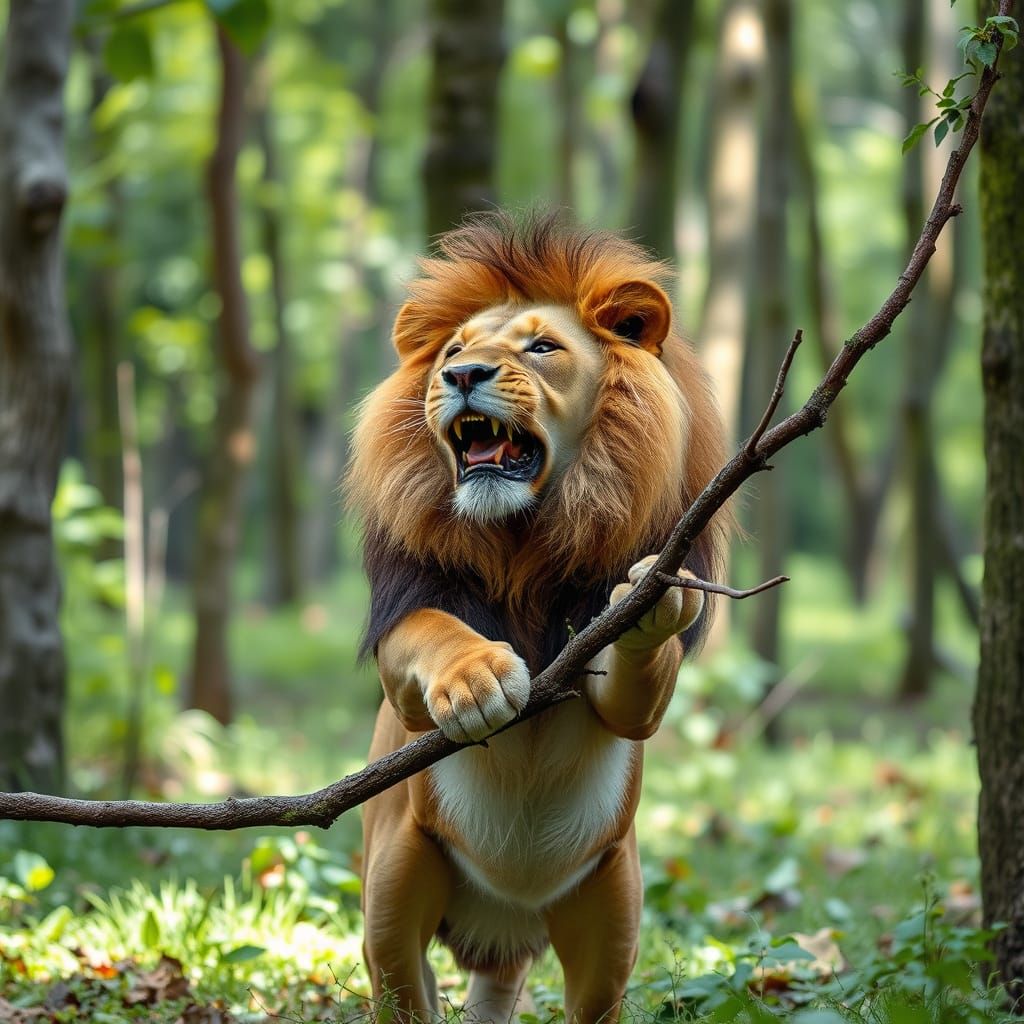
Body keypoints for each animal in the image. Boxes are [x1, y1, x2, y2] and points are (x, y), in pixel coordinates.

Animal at [346, 212, 728, 1024]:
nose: (462, 377)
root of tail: (505, 915)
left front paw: (654, 595)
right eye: (453, 351)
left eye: (542, 348)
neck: (522, 543)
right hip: (395, 884)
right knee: (403, 983)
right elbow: (435, 632)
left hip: (612, 912)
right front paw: (479, 680)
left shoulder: (625, 700)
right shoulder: (408, 632)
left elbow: (634, 690)